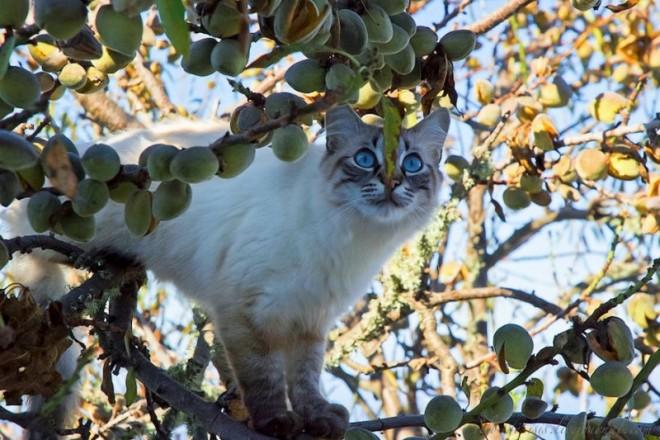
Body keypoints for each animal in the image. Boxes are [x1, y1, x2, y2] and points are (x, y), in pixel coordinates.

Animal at [1, 105, 448, 438]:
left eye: (411, 164)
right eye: (365, 159)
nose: (391, 182)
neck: (353, 240)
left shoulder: (309, 319)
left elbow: (305, 378)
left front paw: (318, 419)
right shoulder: (243, 307)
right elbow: (264, 378)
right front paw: (277, 423)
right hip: (61, 229)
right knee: (28, 243)